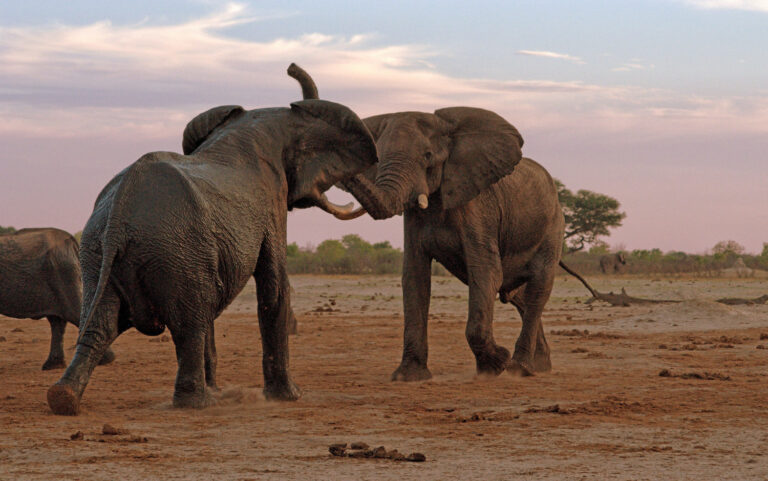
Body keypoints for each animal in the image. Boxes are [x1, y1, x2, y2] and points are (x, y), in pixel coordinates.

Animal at [0, 228, 115, 370]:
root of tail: (73, 242)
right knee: (57, 321)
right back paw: (53, 365)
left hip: (64, 274)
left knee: (73, 314)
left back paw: (104, 360)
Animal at [46, 64, 377, 415]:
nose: (290, 66)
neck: (260, 120)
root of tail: (120, 215)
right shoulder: (272, 200)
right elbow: (274, 287)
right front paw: (290, 397)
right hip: (175, 250)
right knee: (189, 324)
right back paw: (198, 403)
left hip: (99, 254)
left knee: (104, 323)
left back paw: (63, 399)